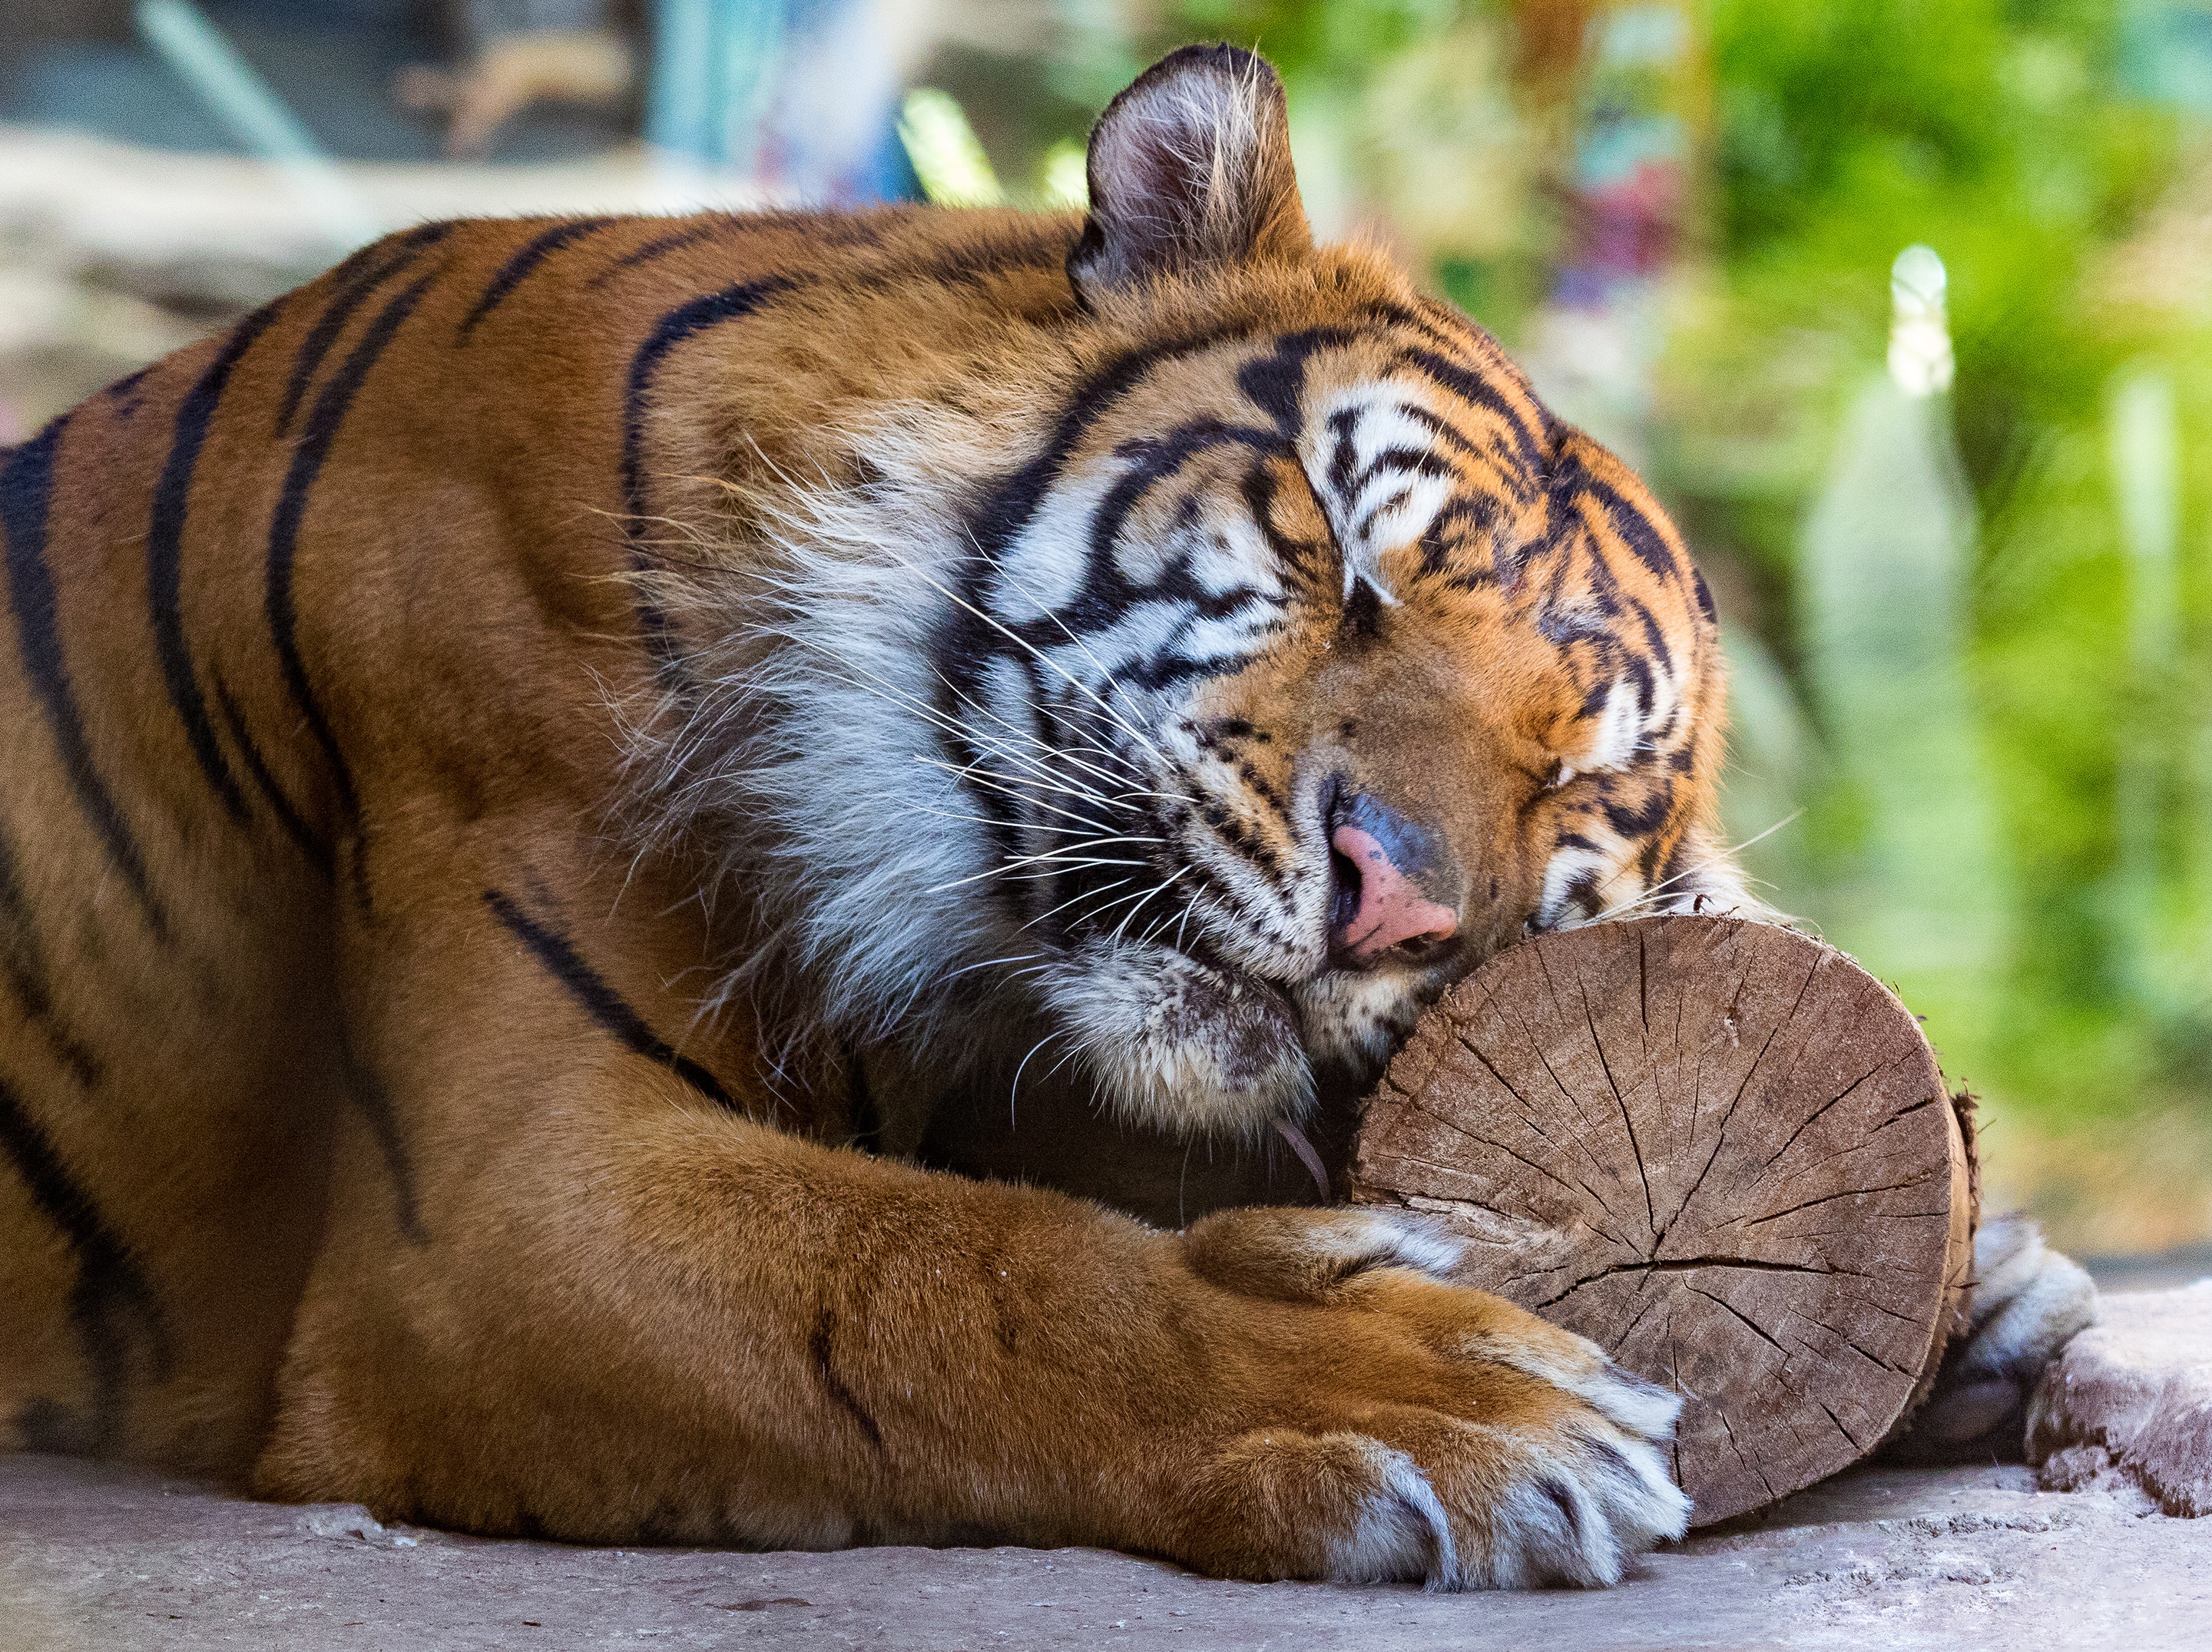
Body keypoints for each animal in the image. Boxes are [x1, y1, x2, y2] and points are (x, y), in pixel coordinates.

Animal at [0, 41, 2088, 1592]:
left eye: (1571, 779)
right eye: (1350, 567)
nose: (1392, 906)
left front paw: (1993, 1296)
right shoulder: (502, 1207)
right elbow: (957, 1275)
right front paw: (1446, 1406)